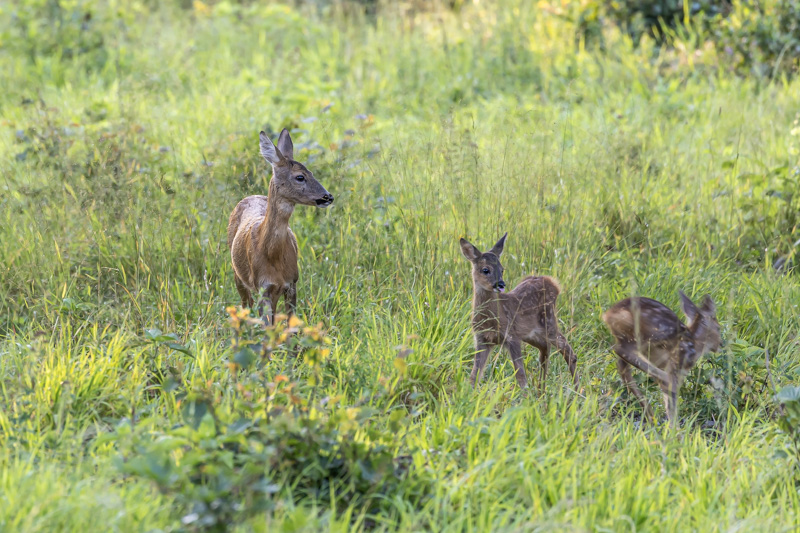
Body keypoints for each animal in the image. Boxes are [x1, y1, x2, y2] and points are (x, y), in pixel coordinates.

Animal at [227, 129, 332, 324]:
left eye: (312, 172)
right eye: (300, 177)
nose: (328, 196)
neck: (272, 255)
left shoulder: (291, 283)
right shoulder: (263, 287)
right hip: (237, 275)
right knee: (245, 306)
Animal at [460, 233, 580, 390]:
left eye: (502, 269)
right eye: (485, 270)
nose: (501, 284)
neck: (491, 319)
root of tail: (554, 283)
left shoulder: (511, 336)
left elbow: (520, 375)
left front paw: (525, 394)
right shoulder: (482, 338)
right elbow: (475, 374)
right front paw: (469, 392)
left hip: (549, 321)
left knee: (568, 351)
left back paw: (577, 390)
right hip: (530, 333)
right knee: (545, 348)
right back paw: (541, 390)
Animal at [604, 290, 720, 424]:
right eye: (719, 328)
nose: (722, 344)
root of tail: (608, 314)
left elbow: (668, 402)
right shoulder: (677, 365)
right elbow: (671, 403)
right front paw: (674, 428)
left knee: (622, 365)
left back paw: (650, 414)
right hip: (650, 334)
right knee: (620, 350)